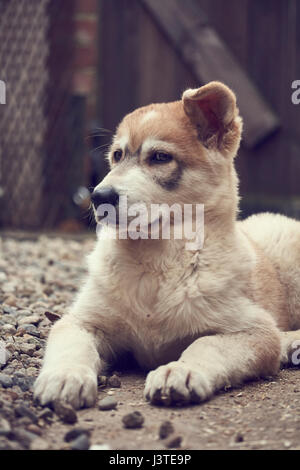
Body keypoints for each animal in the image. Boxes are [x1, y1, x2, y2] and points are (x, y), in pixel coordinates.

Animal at [34, 82, 300, 410]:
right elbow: (71, 343)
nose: (98, 197)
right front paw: (64, 376)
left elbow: (206, 343)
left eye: (160, 157)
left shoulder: (253, 330)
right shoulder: (80, 321)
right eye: (117, 155)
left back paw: (290, 343)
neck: (156, 263)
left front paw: (181, 371)